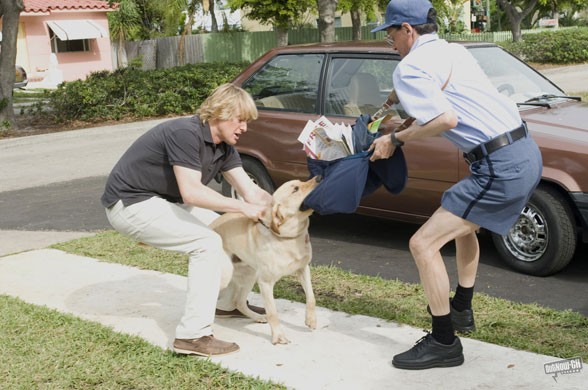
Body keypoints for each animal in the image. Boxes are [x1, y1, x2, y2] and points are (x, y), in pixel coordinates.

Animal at [211, 177, 322, 344]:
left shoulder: (303, 269)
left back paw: (256, 316)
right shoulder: (265, 283)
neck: (288, 237)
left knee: (239, 302)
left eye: (302, 181)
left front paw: (311, 319)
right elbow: (272, 312)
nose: (319, 177)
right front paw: (278, 336)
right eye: (295, 189)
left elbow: (311, 297)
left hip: (250, 275)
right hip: (227, 276)